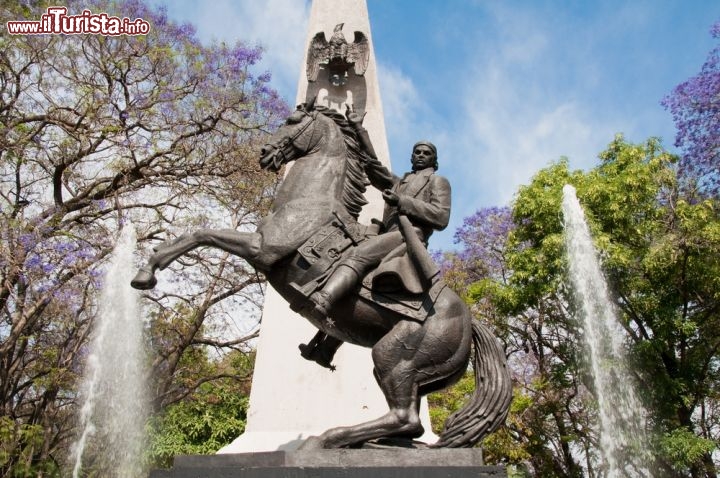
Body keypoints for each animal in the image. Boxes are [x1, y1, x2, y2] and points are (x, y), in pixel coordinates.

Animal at [131, 101, 512, 448]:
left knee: (406, 418)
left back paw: (332, 437)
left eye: (292, 120)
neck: (309, 203)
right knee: (408, 425)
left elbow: (201, 234)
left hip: (395, 356)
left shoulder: (261, 249)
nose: (265, 153)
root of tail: (469, 320)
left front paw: (147, 271)